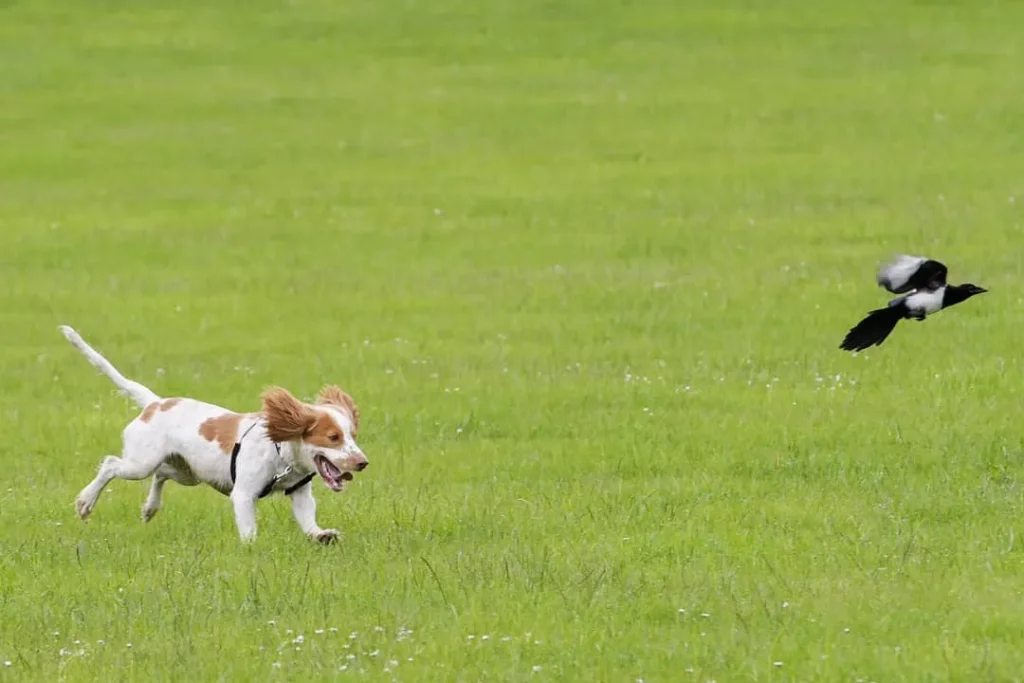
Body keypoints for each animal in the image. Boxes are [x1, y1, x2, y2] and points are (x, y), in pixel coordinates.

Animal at [57, 325, 368, 544]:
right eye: (333, 437)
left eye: (353, 435)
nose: (362, 462)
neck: (280, 452)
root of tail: (155, 403)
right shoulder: (244, 494)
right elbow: (249, 529)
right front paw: (252, 548)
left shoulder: (300, 491)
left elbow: (308, 520)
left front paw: (322, 535)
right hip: (141, 462)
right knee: (112, 464)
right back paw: (86, 502)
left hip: (189, 472)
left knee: (161, 474)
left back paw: (150, 508)